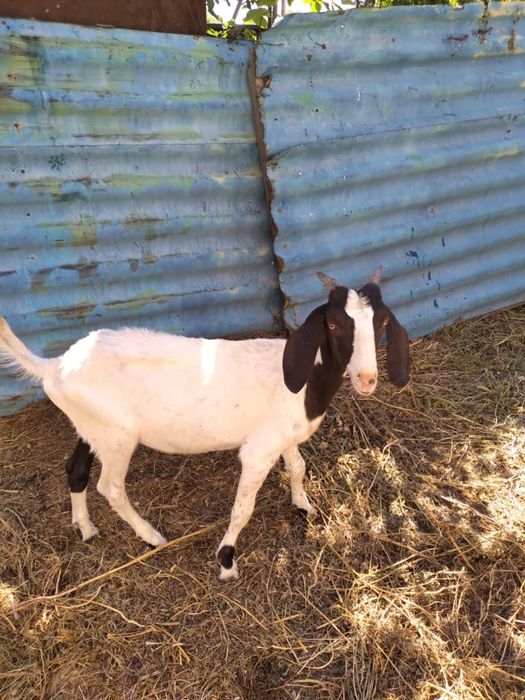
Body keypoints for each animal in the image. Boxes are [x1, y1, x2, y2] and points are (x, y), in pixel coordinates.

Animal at [0, 273, 410, 580]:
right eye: (334, 323)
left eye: (383, 322)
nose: (368, 379)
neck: (305, 380)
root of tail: (55, 366)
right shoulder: (259, 451)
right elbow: (243, 508)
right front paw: (226, 560)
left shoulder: (283, 436)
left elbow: (298, 466)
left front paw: (303, 505)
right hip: (118, 438)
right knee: (110, 486)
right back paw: (151, 536)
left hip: (92, 426)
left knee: (76, 469)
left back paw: (84, 527)